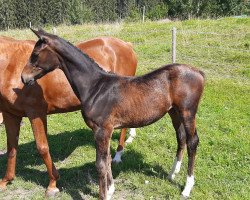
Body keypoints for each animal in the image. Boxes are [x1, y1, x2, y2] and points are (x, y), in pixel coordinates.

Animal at [0, 35, 137, 194]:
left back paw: (118, 156)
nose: (25, 78)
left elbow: (42, 147)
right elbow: (11, 148)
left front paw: (52, 184)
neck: (11, 64)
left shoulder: (35, 113)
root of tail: (126, 45)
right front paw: (6, 180)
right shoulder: (10, 115)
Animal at [21, 28, 205, 199]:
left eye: (35, 54)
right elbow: (107, 159)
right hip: (174, 112)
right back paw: (172, 173)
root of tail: (199, 72)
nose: (23, 77)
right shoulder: (105, 131)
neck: (95, 87)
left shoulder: (101, 130)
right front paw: (110, 190)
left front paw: (104, 194)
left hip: (188, 112)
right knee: (181, 137)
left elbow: (101, 164)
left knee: (192, 142)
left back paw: (187, 188)